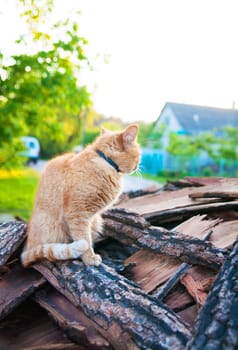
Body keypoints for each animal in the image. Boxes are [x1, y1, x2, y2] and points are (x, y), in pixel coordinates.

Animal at [21, 124, 140, 266]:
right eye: (139, 154)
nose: (138, 165)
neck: (104, 160)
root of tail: (27, 249)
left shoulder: (88, 217)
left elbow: (88, 237)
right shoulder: (78, 213)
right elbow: (84, 238)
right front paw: (90, 258)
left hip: (96, 221)